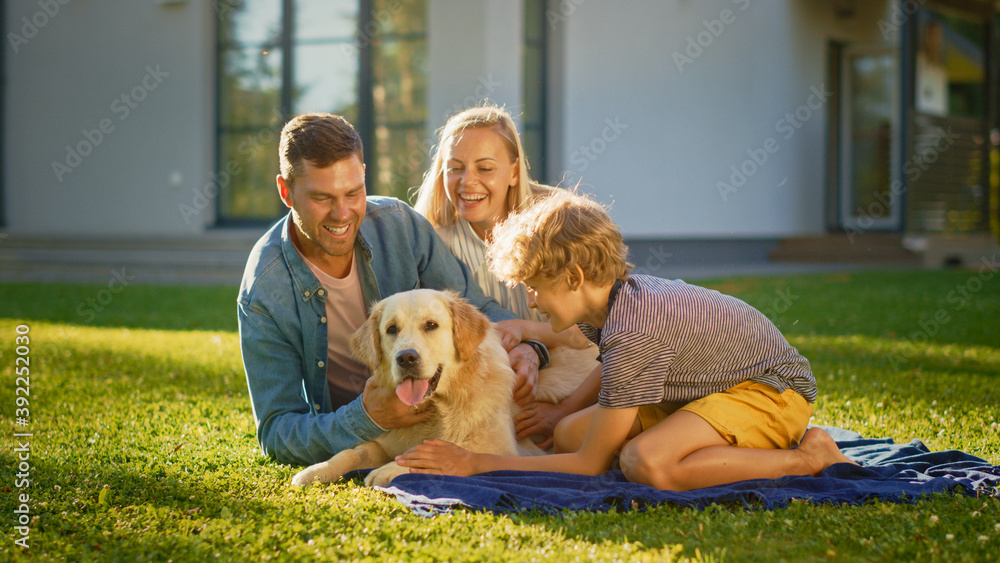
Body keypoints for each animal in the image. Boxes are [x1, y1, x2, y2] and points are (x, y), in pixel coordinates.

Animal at [292, 288, 596, 486]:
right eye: (391, 330)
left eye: (431, 325)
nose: (406, 358)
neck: (439, 406)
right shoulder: (383, 439)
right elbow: (350, 452)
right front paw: (316, 470)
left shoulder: (501, 449)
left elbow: (437, 453)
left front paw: (388, 469)